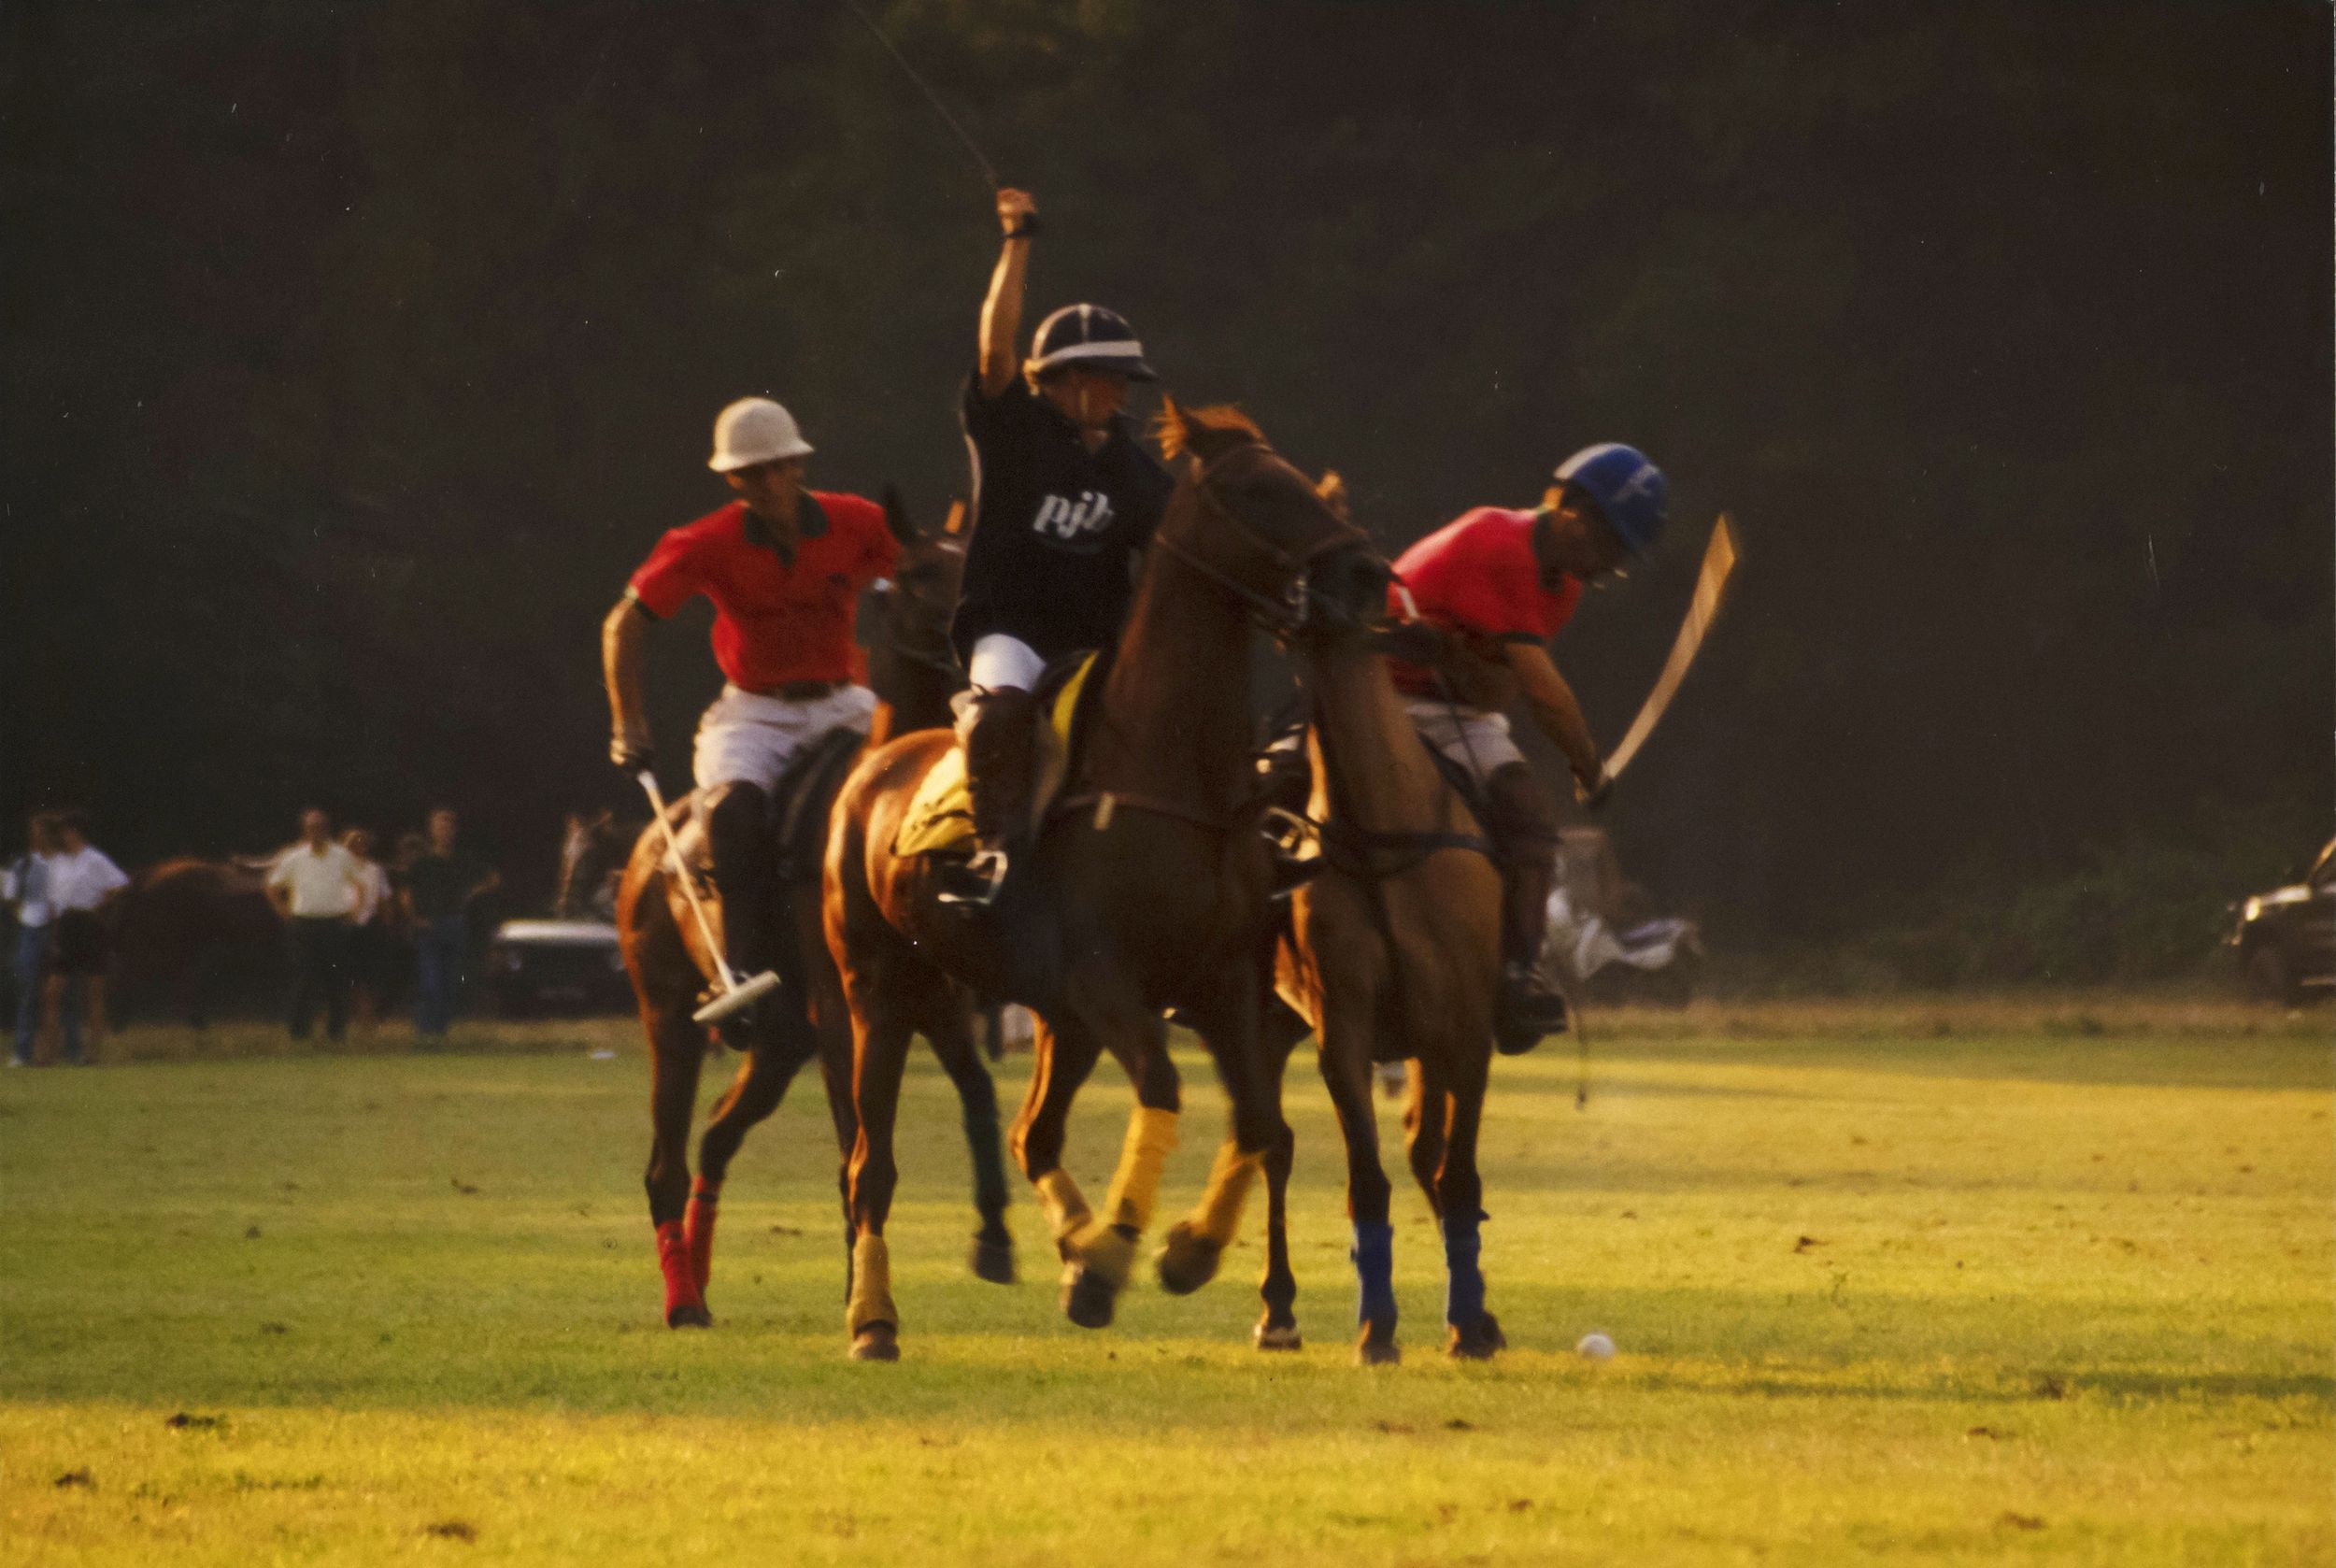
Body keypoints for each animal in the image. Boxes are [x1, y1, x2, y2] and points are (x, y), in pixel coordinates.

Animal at [612, 497, 1014, 1327]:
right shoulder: (843, 1008)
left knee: (714, 1138)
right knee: (666, 1160)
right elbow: (853, 1147)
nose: (976, 659)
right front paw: (862, 1291)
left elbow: (980, 1092)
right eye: (916, 573)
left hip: (778, 1042)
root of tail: (646, 847)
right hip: (670, 1011)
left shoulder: (938, 999)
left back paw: (700, 1272)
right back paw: (683, 1300)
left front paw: (991, 1239)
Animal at [822, 402, 1374, 1364]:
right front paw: (1123, 1255)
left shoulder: (1222, 983)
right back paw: (875, 1320)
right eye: (1255, 489)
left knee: (1028, 1132)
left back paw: (1073, 1256)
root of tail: (872, 770)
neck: (1171, 775)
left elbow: (1261, 1123)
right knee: (871, 1163)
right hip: (880, 987)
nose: (1365, 571)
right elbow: (1163, 1086)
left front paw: (1178, 1253)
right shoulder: (1106, 979)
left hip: (1055, 1020)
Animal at [1154, 547, 1514, 1364]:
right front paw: (1377, 1329)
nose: (1308, 596)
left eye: (1364, 572)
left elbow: (1456, 1173)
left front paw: (1470, 1324)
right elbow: (1366, 1180)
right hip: (1269, 1018)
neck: (1379, 835)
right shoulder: (1342, 1030)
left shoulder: (1463, 1033)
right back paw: (1271, 1304)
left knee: (1419, 1153)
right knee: (1274, 1143)